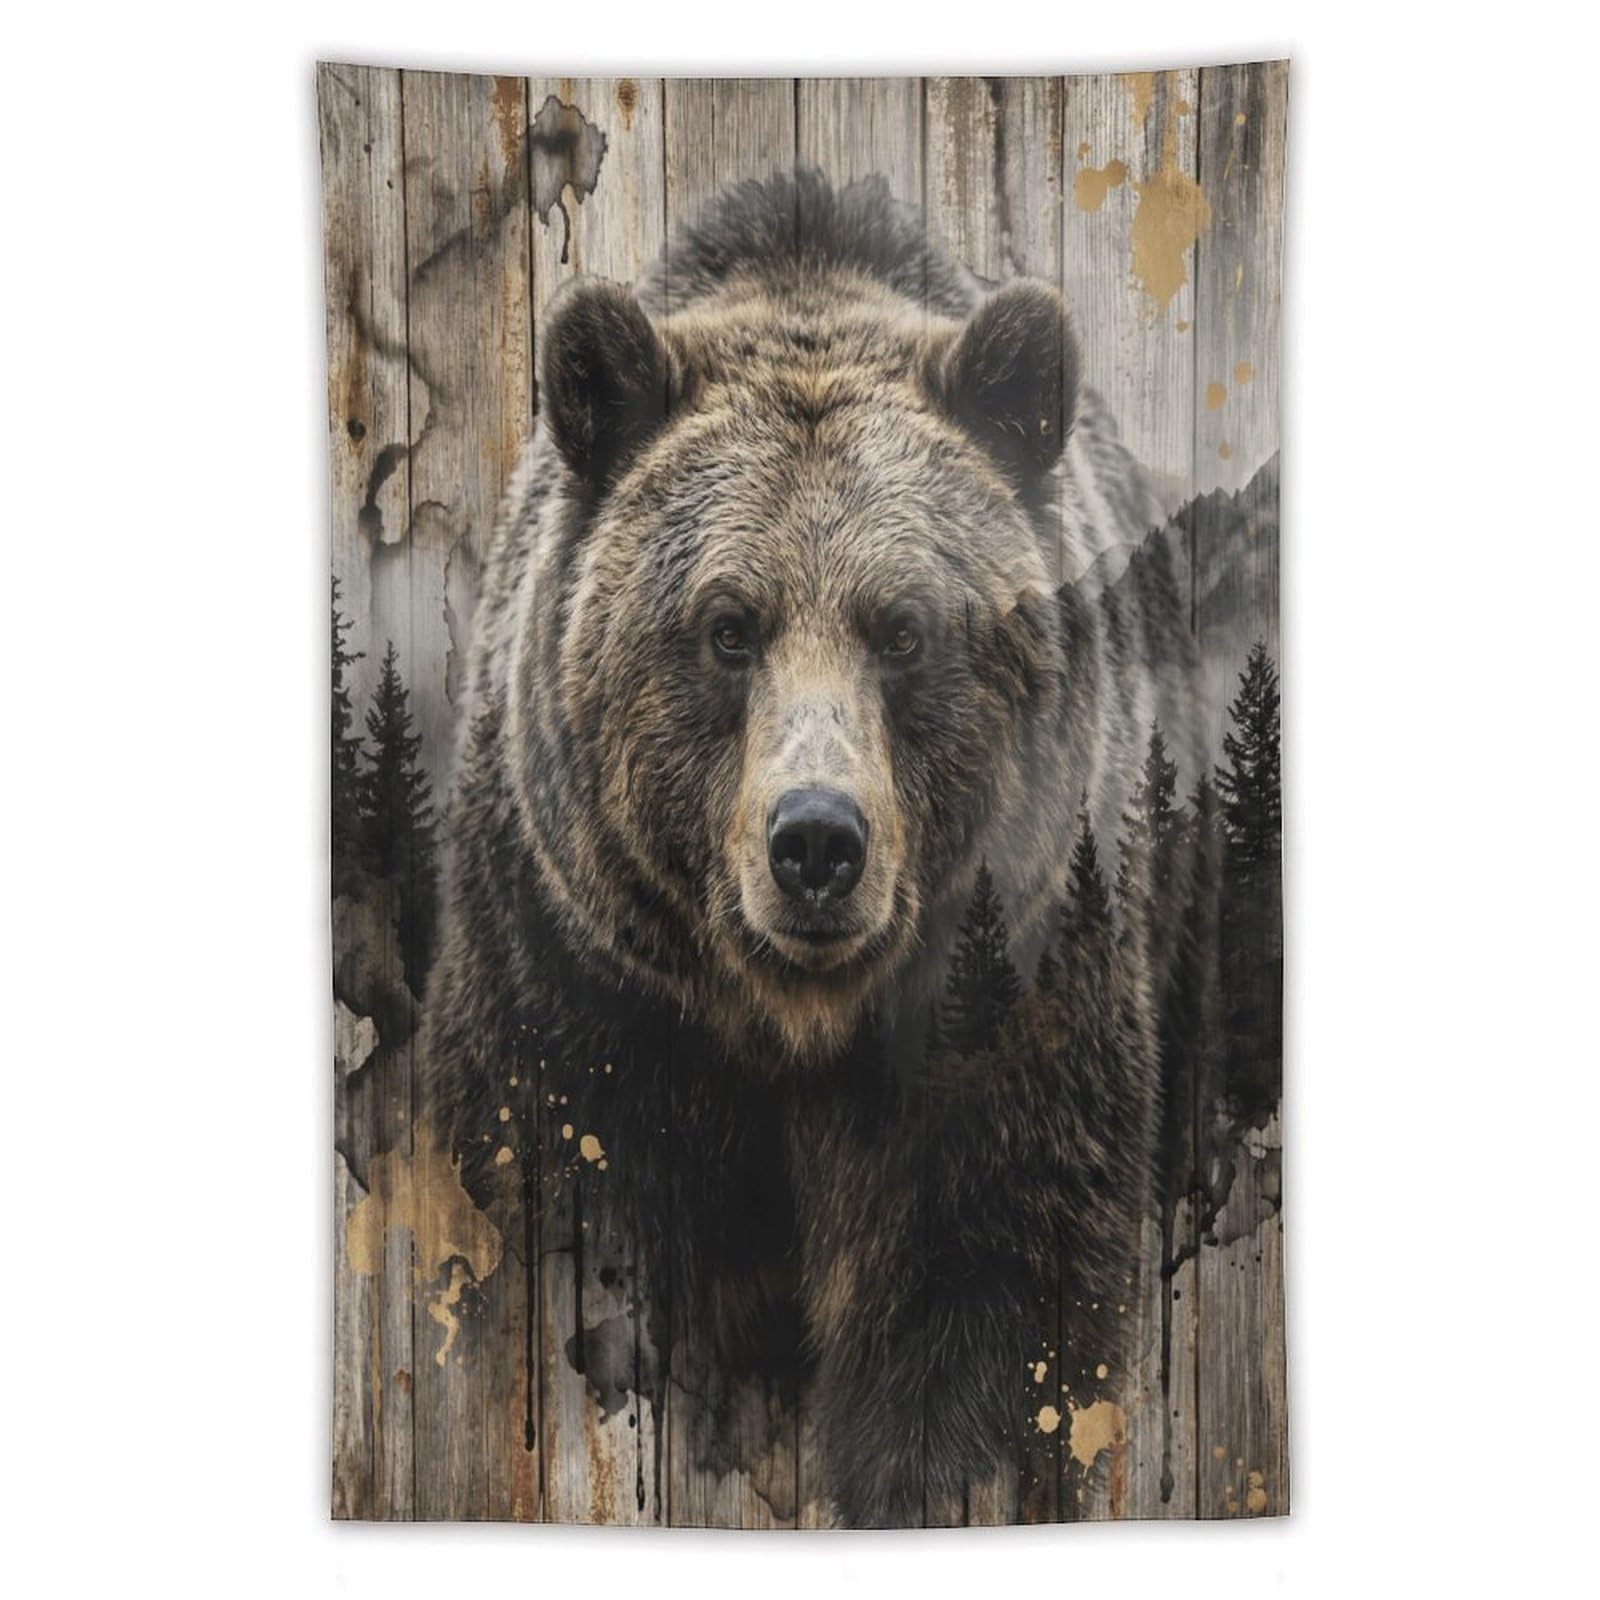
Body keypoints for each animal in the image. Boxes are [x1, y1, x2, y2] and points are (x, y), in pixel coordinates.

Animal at [420, 170, 1165, 1526]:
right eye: (728, 625)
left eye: (904, 628)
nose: (816, 841)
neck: (794, 1027)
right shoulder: (575, 1002)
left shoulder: (1016, 1009)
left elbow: (994, 1290)